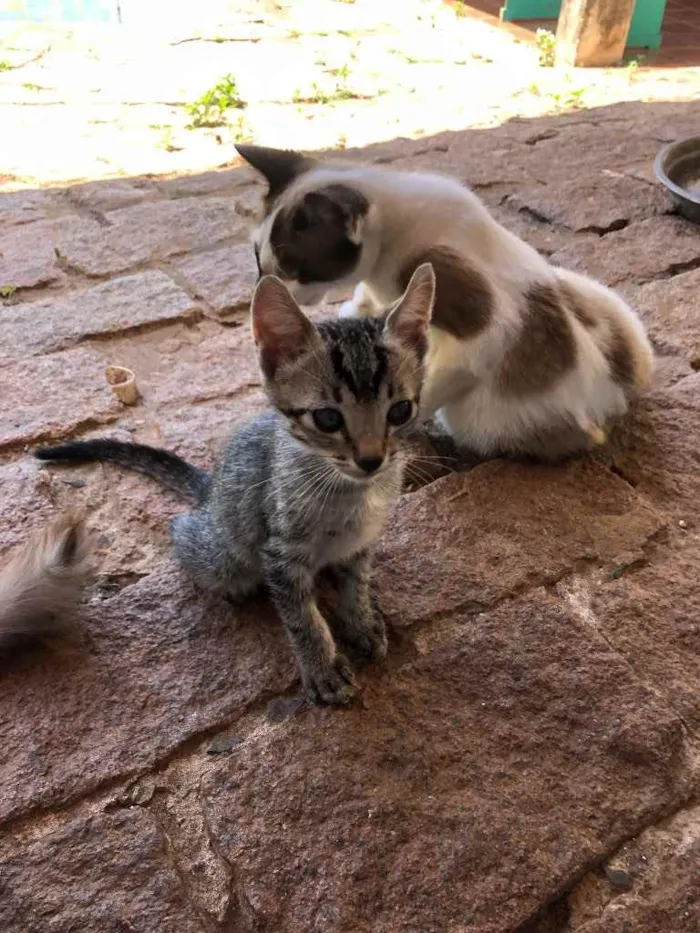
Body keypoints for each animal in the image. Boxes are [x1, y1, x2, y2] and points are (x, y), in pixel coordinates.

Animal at [38, 266, 434, 704]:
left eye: (400, 411)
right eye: (328, 419)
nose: (371, 460)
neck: (352, 495)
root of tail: (209, 487)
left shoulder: (362, 543)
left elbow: (356, 583)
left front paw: (361, 621)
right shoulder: (279, 553)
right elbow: (302, 616)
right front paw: (323, 667)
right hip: (219, 554)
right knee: (183, 532)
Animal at [238, 144, 652, 460]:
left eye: (294, 267)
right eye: (258, 259)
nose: (268, 286)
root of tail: (614, 407)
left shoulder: (482, 329)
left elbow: (420, 391)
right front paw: (360, 308)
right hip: (590, 290)